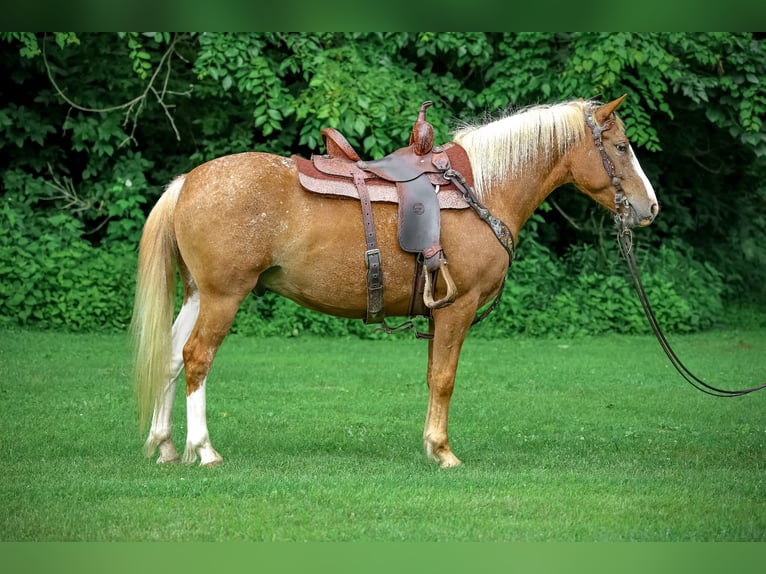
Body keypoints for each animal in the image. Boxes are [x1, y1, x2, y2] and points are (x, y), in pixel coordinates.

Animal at [132, 95, 659, 468]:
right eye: (620, 148)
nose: (649, 207)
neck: (482, 190)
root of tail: (187, 182)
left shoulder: (437, 311)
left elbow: (431, 377)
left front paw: (430, 445)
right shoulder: (457, 307)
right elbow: (445, 379)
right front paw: (443, 451)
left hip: (197, 296)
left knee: (171, 357)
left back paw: (165, 445)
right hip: (223, 296)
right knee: (197, 358)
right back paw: (203, 450)